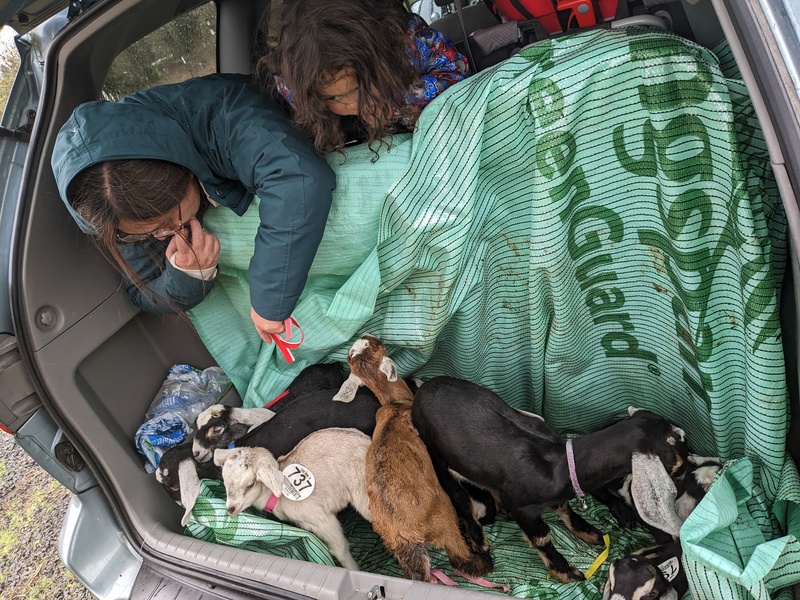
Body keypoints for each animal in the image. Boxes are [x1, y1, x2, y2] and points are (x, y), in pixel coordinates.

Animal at [214, 424, 374, 568]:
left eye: (250, 485)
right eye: (225, 482)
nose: (230, 509)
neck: (278, 498)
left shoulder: (321, 520)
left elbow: (340, 550)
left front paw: (353, 569)